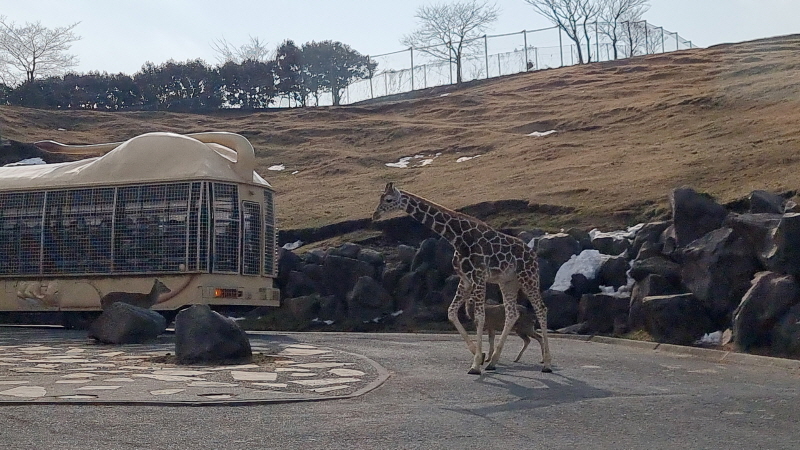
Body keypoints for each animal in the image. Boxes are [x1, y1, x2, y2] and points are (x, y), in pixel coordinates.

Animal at [372, 181, 552, 374]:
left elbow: (480, 316)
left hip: (529, 277)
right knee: (512, 313)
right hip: (508, 282)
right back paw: (493, 361)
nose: (375, 215)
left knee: (541, 309)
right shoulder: (465, 279)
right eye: (380, 197)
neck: (457, 237)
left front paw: (475, 365)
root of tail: (533, 254)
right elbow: (451, 312)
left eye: (389, 199)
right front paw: (480, 355)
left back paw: (547, 364)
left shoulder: (479, 275)